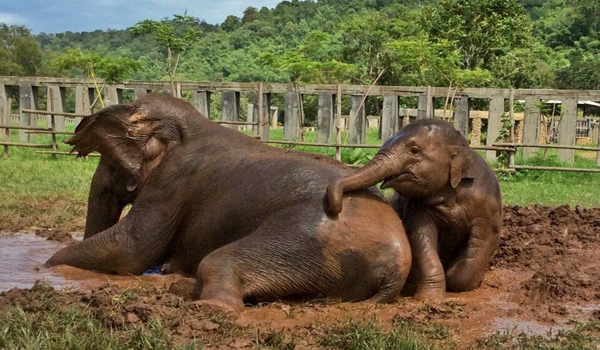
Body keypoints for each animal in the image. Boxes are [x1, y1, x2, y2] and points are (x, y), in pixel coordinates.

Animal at [45, 93, 412, 314]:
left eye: (109, 163)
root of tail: (398, 264)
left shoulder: (170, 184)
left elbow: (132, 248)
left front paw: (48, 266)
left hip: (309, 239)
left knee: (216, 263)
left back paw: (201, 302)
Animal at [328, 119, 502, 300]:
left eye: (414, 150)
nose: (335, 208)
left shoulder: (487, 205)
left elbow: (483, 240)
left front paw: (452, 278)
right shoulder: (418, 206)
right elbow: (421, 237)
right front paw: (429, 299)